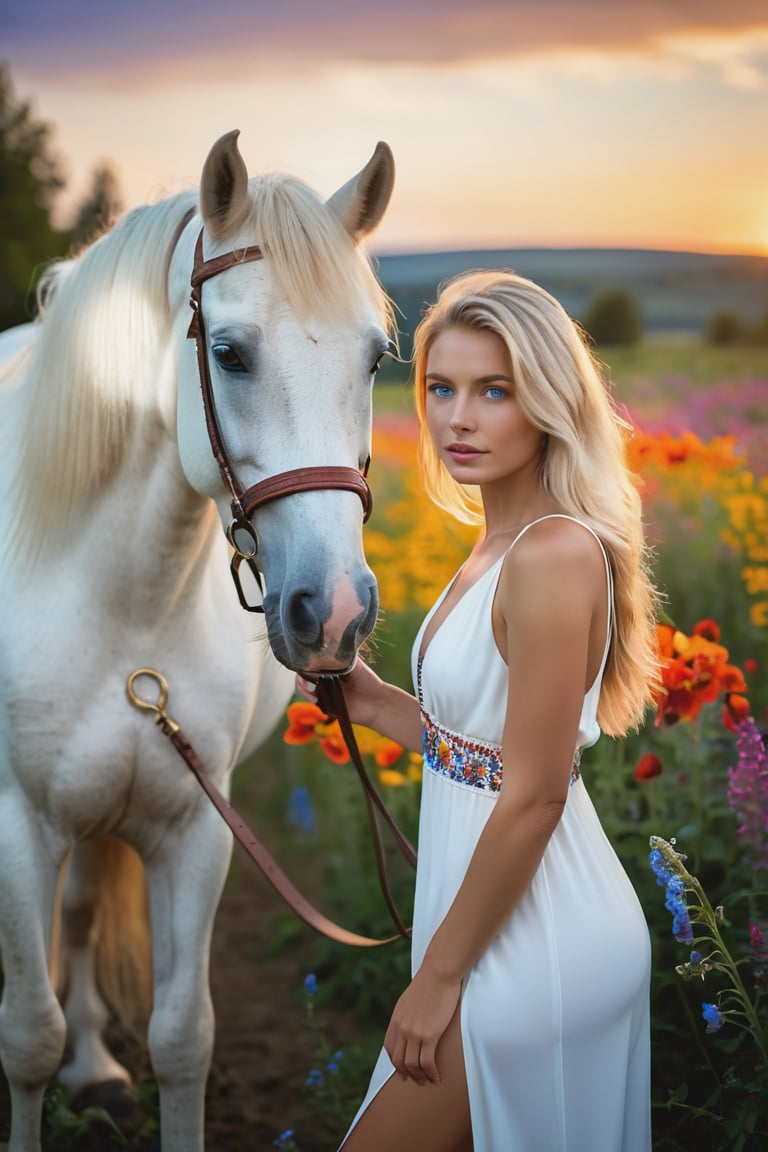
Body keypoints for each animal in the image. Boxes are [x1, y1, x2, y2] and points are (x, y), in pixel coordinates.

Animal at [0, 132, 396, 1152]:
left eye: (376, 359)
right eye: (229, 352)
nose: (335, 611)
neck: (120, 599)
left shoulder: (197, 830)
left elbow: (184, 1038)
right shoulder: (16, 822)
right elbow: (26, 1034)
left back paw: (98, 1072)